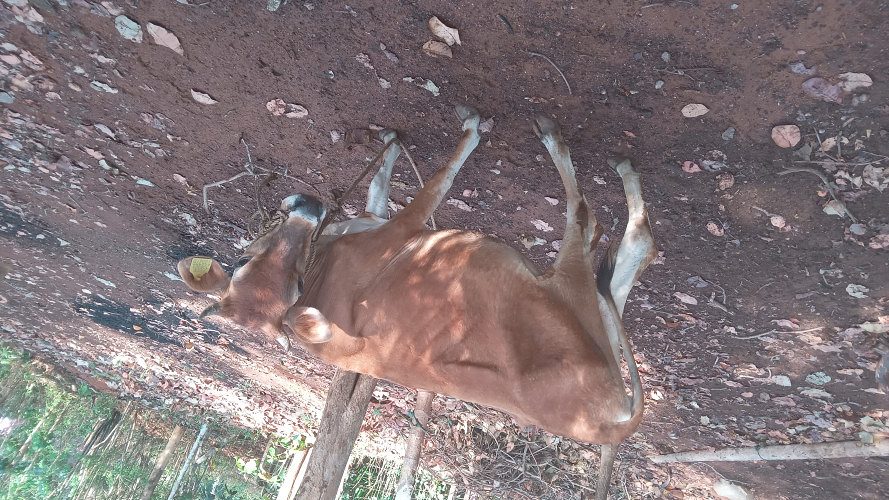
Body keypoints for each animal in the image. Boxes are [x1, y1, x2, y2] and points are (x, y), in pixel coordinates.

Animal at [176, 105, 657, 499]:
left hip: (595, 314)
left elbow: (385, 181)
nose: (308, 208)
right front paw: (470, 132)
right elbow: (438, 181)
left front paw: (391, 143)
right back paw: (567, 143)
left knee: (621, 254)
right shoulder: (399, 229)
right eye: (293, 283)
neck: (323, 270)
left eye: (244, 260)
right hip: (572, 291)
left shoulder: (379, 221)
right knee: (599, 223)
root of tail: (613, 423)